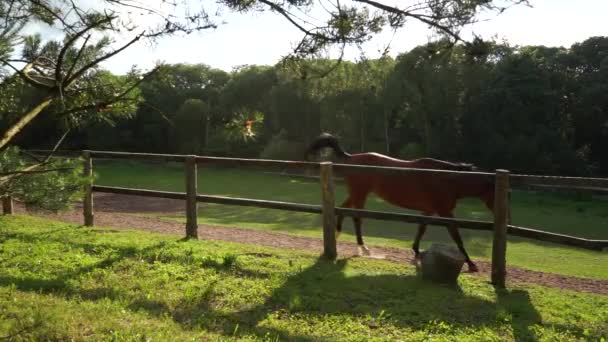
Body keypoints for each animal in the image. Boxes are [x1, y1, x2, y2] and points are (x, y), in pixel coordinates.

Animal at [306, 132, 496, 272]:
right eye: (494, 192)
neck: (444, 179)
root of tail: (351, 158)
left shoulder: (429, 210)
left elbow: (421, 229)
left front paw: (417, 251)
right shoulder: (445, 212)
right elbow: (457, 238)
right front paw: (471, 264)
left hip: (358, 193)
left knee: (344, 210)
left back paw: (343, 237)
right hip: (360, 193)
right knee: (356, 217)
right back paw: (362, 247)